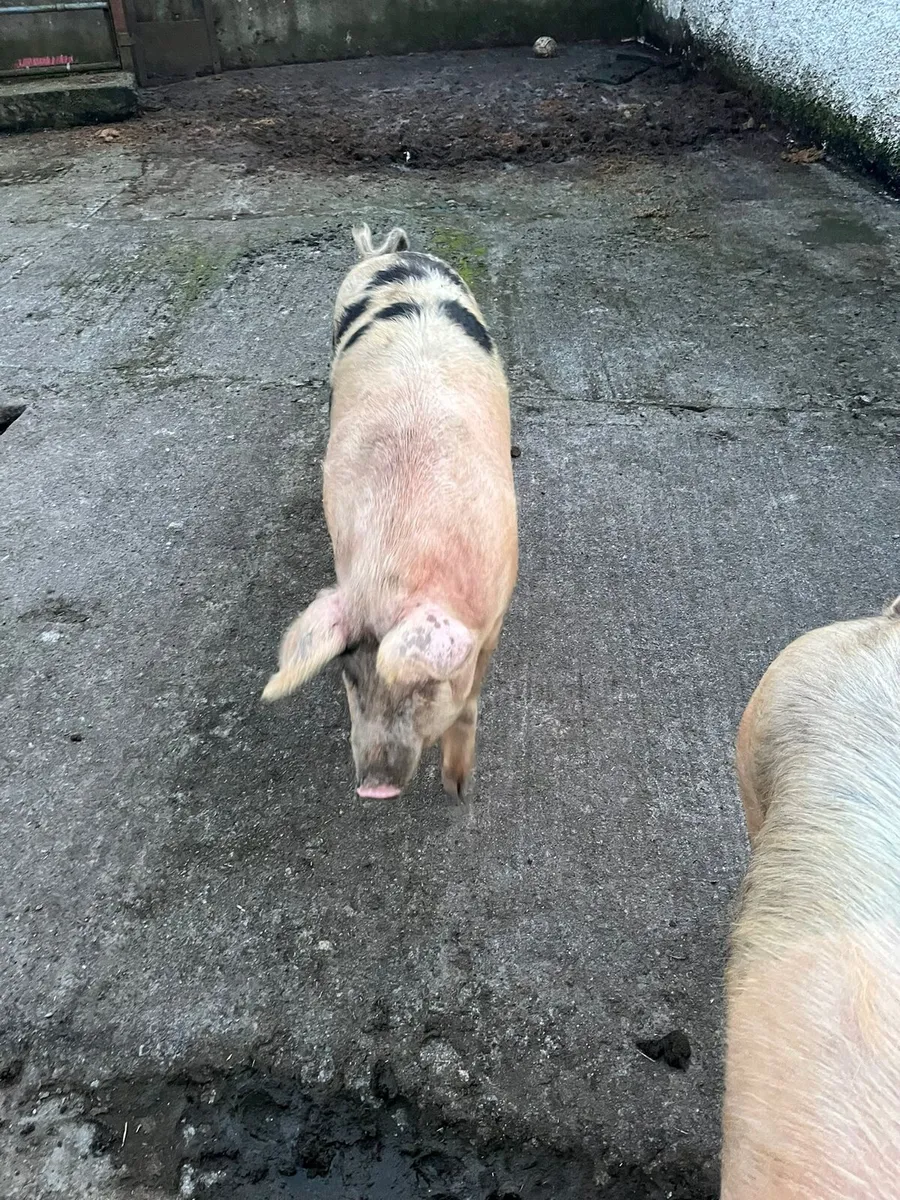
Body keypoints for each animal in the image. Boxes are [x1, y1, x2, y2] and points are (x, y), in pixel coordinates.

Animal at [262, 224, 518, 800]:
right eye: (349, 676)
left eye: (421, 687)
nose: (373, 789)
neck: (397, 569)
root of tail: (384, 257)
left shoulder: (496, 610)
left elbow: (471, 697)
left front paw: (458, 788)